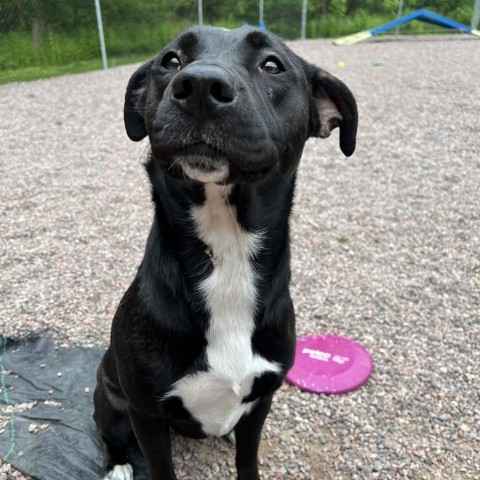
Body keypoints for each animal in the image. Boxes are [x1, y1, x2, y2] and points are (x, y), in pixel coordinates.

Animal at [94, 26, 356, 480]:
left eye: (272, 64)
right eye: (171, 60)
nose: (200, 86)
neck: (227, 250)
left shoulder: (263, 396)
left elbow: (247, 458)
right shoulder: (145, 412)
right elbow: (161, 468)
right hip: (109, 400)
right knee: (106, 433)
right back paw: (118, 464)